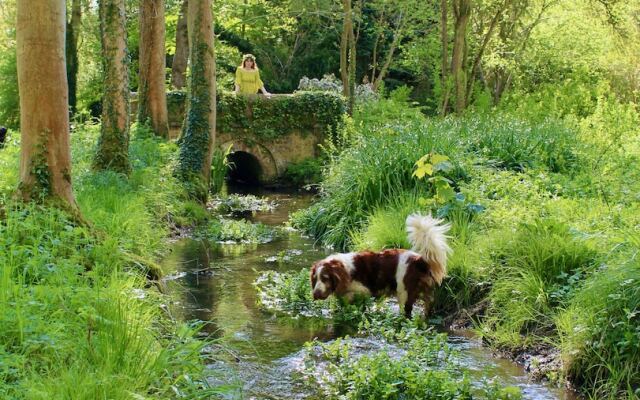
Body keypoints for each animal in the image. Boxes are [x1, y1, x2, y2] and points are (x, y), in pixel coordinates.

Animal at [310, 214, 450, 318]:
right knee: (428, 307)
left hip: (404, 293)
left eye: (325, 278)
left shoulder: (363, 290)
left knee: (406, 313)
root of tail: (419, 259)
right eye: (315, 279)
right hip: (425, 294)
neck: (346, 270)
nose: (316, 294)